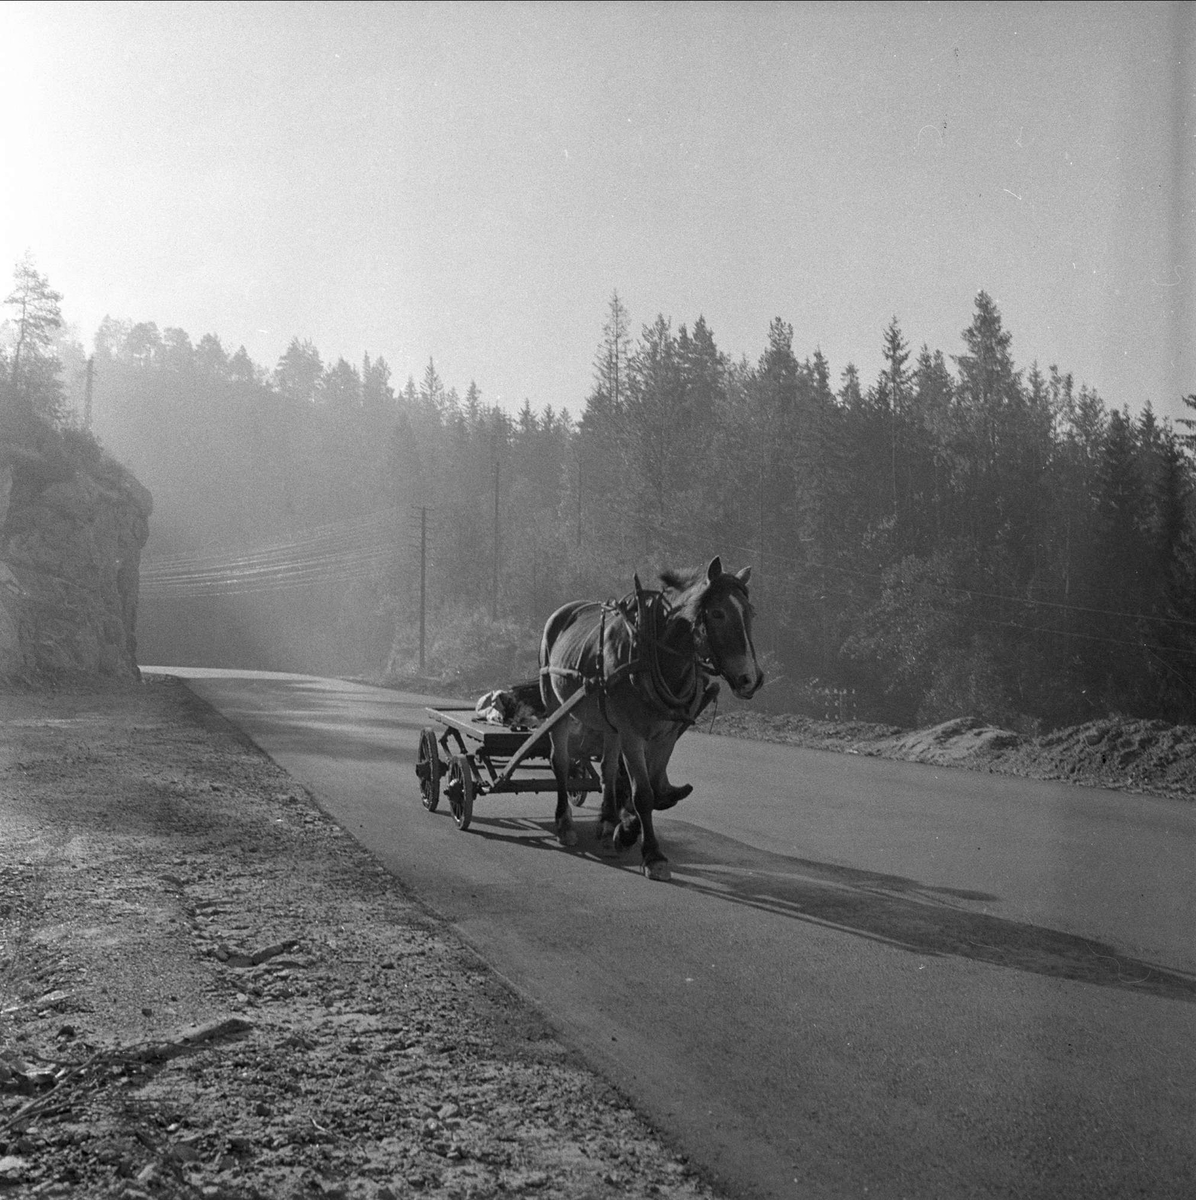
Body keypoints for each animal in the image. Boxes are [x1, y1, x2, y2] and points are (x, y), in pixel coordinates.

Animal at [537, 554, 762, 883]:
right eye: (718, 613)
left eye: (750, 613)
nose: (751, 679)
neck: (653, 655)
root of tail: (564, 611)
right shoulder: (633, 734)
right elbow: (642, 793)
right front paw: (651, 854)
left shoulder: (664, 736)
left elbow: (652, 789)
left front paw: (625, 829)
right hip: (556, 704)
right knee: (562, 762)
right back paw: (565, 825)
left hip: (609, 723)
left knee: (607, 769)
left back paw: (607, 822)